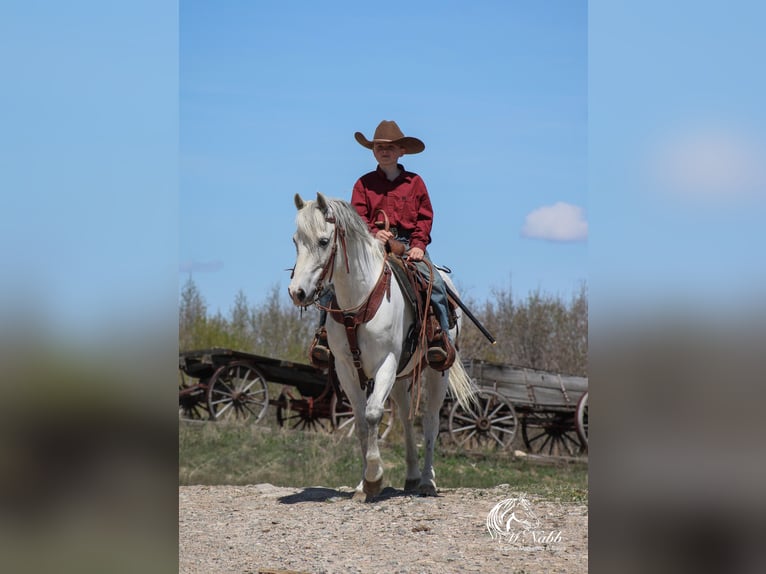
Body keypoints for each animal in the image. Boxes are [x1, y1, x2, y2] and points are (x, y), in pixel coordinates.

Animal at [292, 192, 476, 500]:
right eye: (295, 240)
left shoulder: (386, 362)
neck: (359, 300)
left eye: (324, 241)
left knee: (430, 420)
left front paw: (374, 478)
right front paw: (362, 485)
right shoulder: (346, 369)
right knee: (405, 417)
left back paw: (427, 481)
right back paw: (412, 475)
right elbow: (360, 422)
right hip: (401, 377)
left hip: (436, 372)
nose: (297, 292)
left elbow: (373, 414)